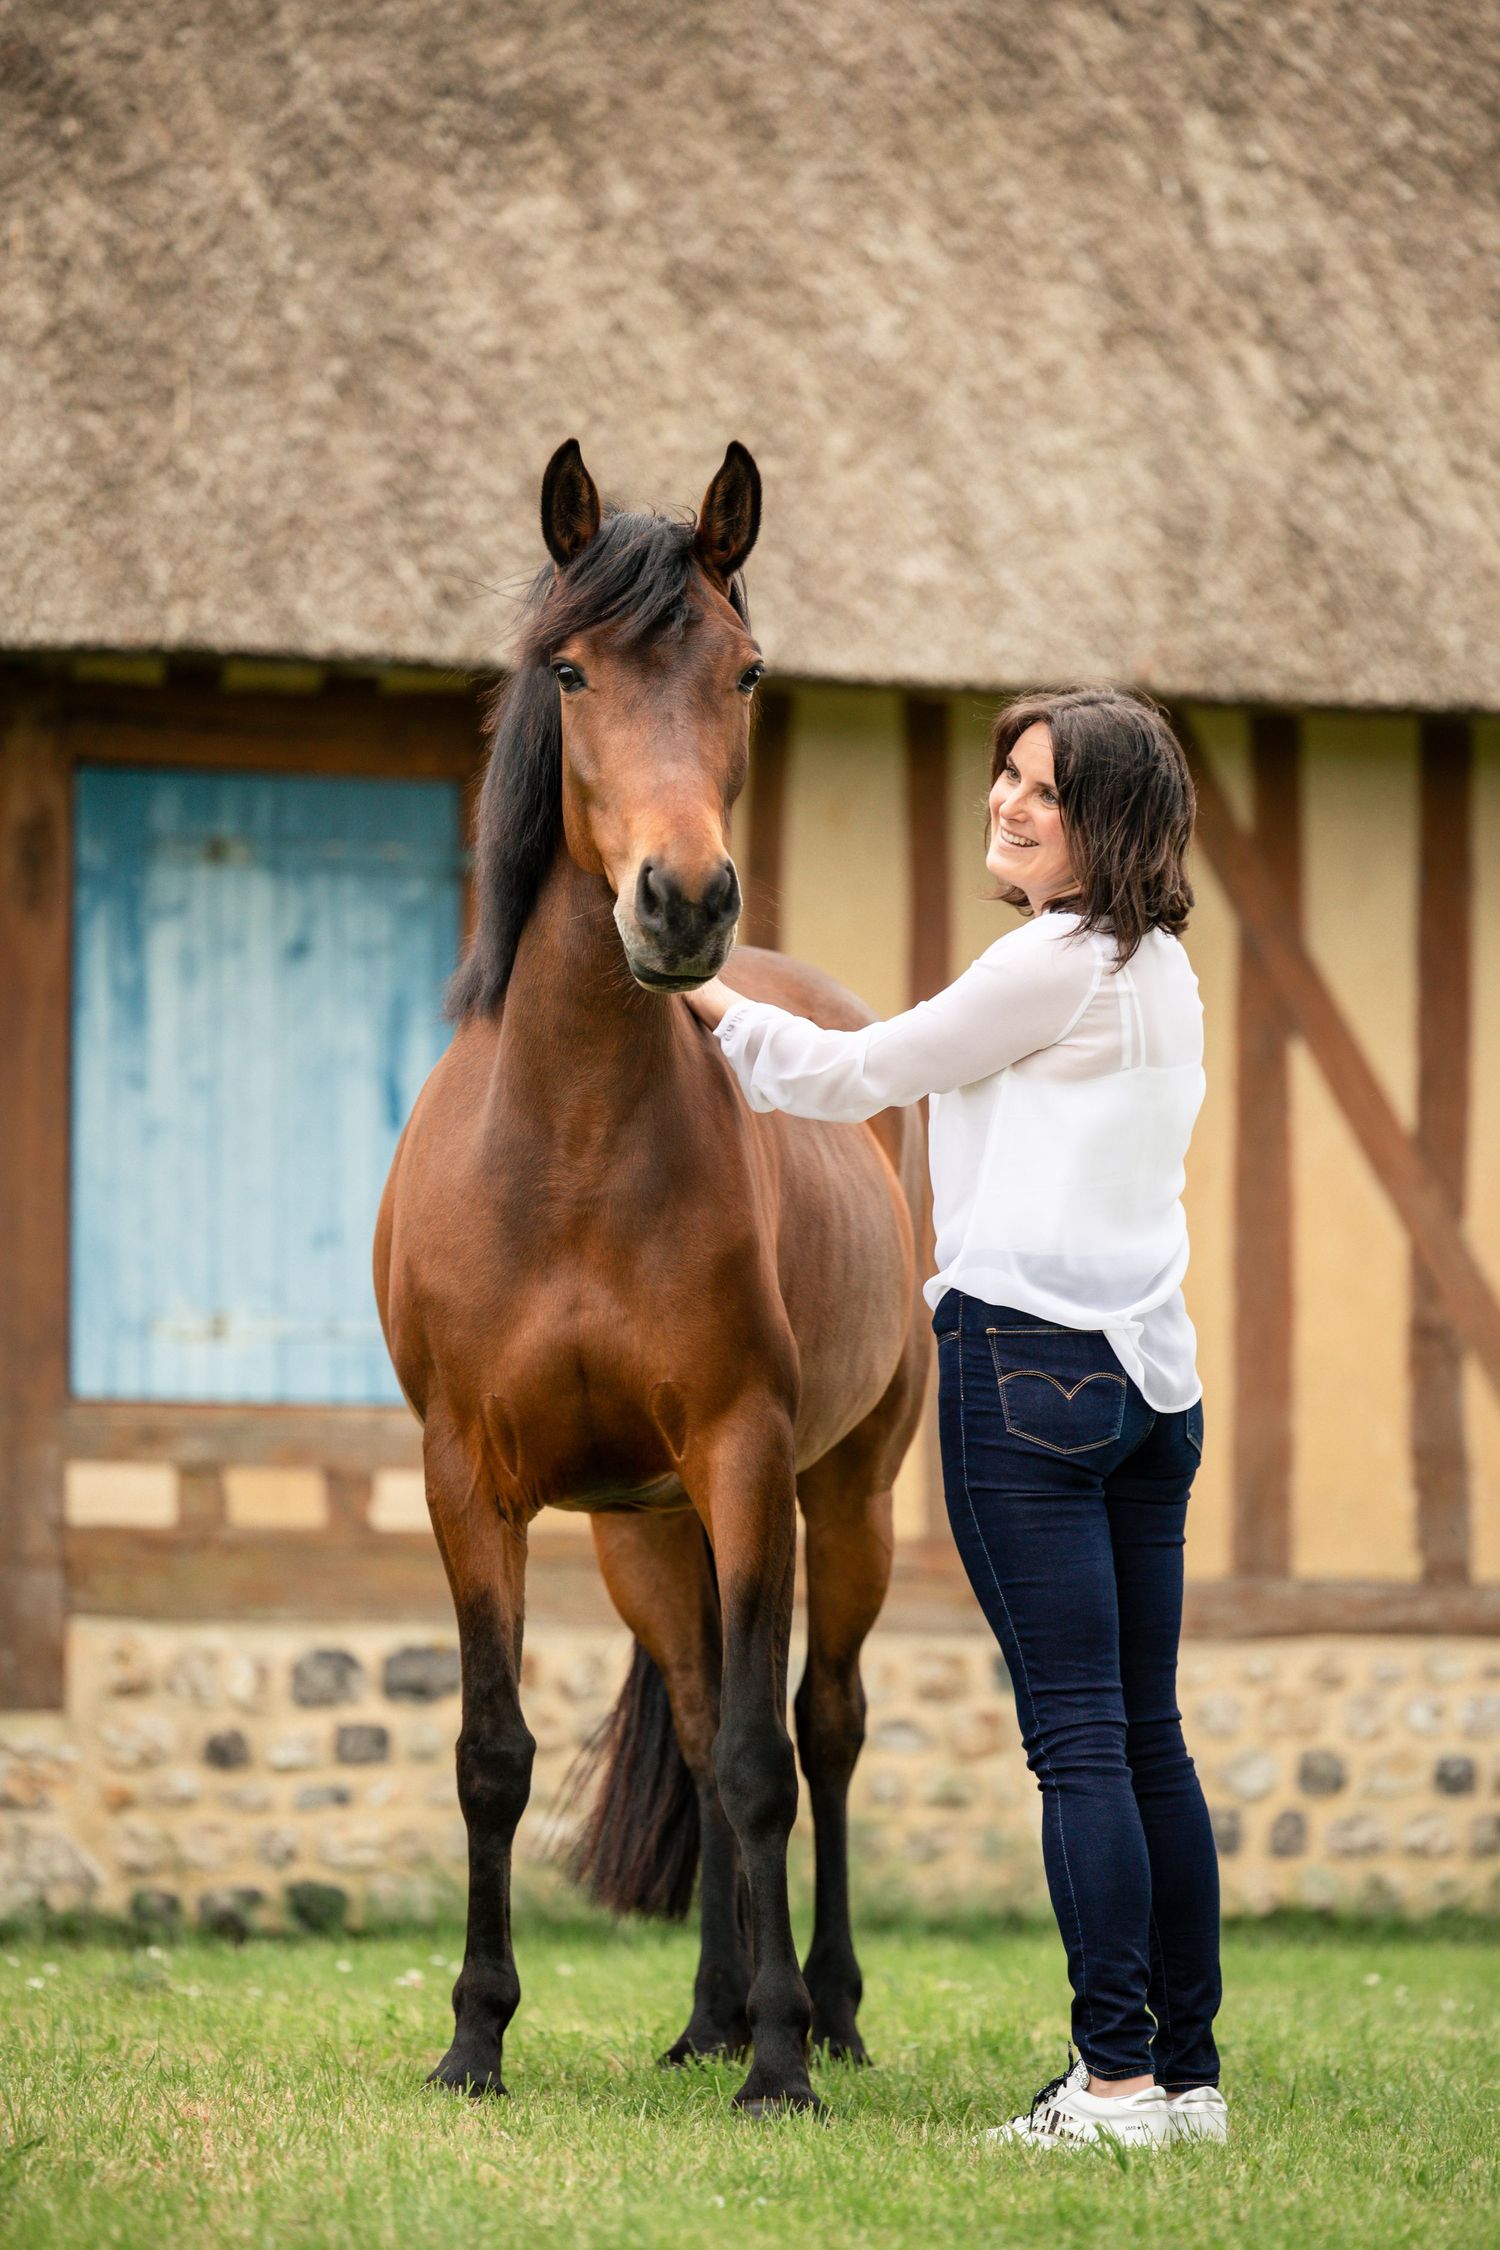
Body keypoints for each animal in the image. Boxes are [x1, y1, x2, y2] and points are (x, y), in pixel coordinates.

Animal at [374, 439, 930, 2115]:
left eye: (744, 671)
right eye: (571, 670)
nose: (683, 902)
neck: (568, 1149)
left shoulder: (749, 1462)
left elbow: (764, 1762)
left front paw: (784, 2069)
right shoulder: (466, 1483)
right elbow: (494, 1755)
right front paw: (475, 2038)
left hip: (843, 1498)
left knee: (820, 1728)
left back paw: (821, 2011)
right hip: (648, 1532)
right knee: (691, 1723)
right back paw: (704, 2018)